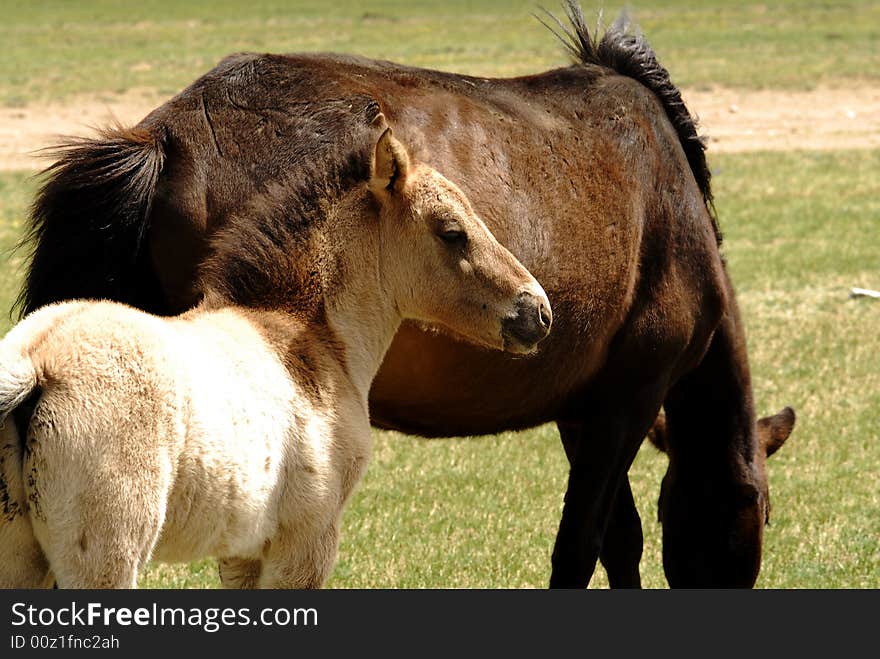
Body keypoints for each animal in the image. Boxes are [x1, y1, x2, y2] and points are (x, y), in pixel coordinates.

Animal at [17, 1, 792, 588]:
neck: (673, 203)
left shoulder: (586, 407)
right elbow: (584, 545)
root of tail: (164, 136)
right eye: (758, 511)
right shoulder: (628, 397)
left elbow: (615, 539)